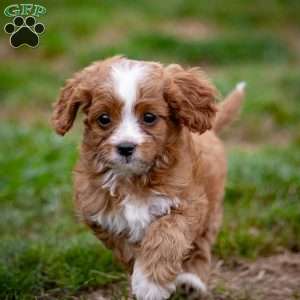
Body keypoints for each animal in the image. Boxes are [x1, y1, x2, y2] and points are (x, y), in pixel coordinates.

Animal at [51, 55, 245, 298]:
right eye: (104, 119)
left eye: (149, 117)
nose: (126, 147)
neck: (132, 179)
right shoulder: (103, 217)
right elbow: (127, 250)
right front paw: (141, 277)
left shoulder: (187, 203)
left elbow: (167, 235)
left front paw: (151, 284)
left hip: (211, 209)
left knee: (200, 246)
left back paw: (191, 282)